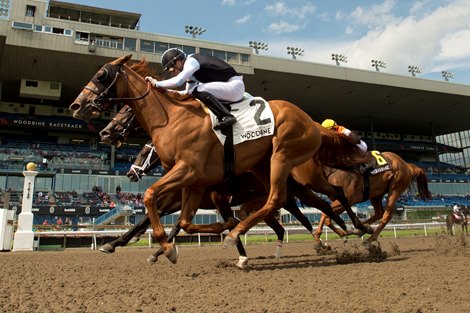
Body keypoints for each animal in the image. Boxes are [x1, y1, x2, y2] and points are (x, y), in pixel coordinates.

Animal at [70, 54, 370, 264]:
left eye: (101, 75)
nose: (76, 105)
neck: (173, 119)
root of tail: (313, 123)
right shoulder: (192, 183)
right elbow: (180, 221)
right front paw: (153, 247)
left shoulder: (189, 174)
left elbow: (150, 197)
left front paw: (166, 246)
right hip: (267, 169)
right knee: (303, 203)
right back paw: (347, 231)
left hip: (285, 159)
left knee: (303, 198)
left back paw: (353, 230)